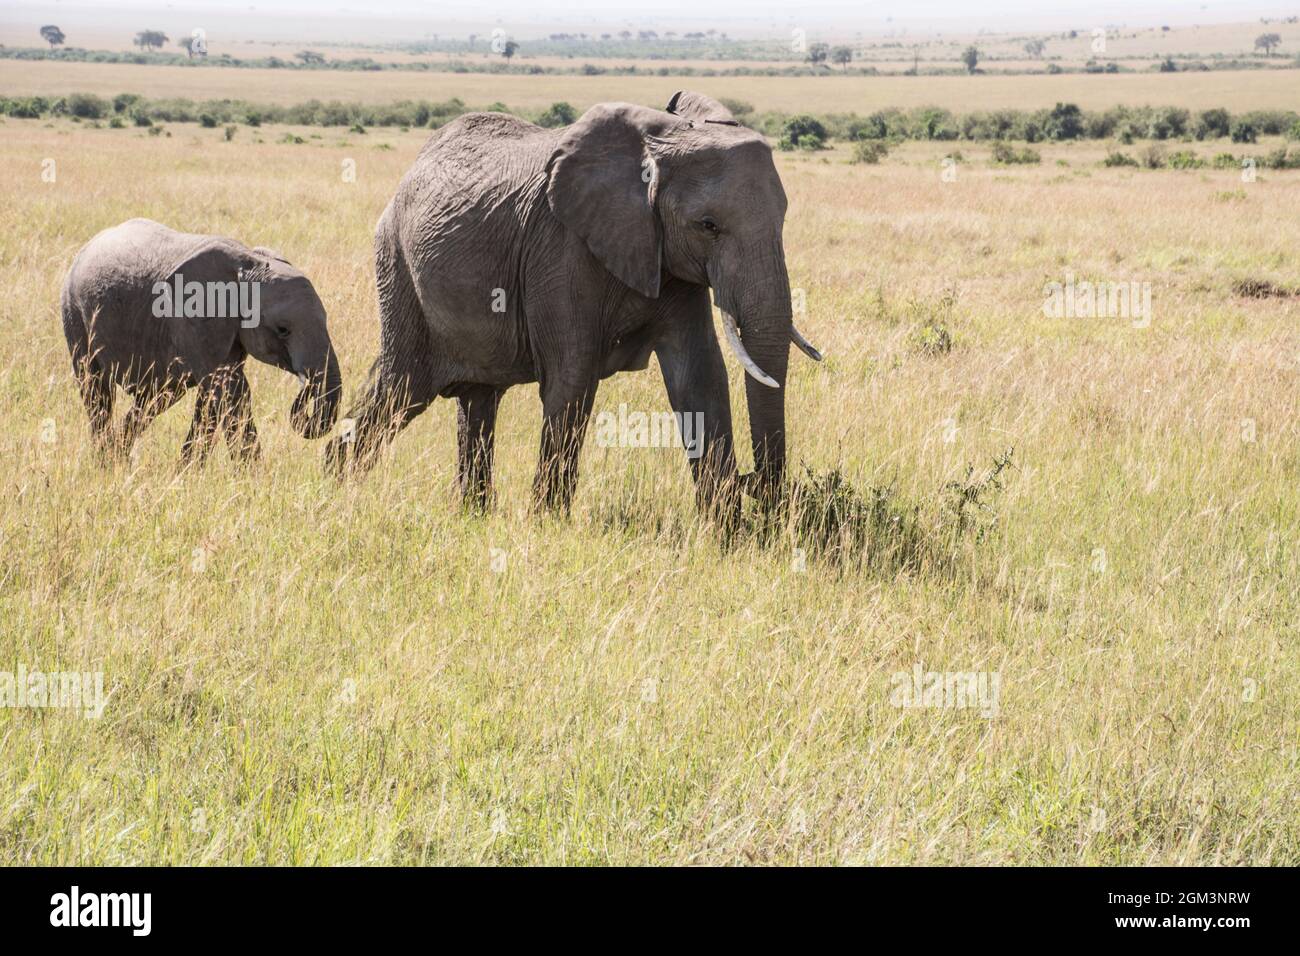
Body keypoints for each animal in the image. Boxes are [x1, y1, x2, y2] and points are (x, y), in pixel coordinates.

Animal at [61, 218, 342, 464]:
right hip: (73, 313)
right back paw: (105, 462)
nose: (305, 387)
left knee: (155, 398)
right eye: (283, 330)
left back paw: (117, 456)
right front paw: (254, 479)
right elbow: (231, 391)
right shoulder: (194, 322)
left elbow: (213, 397)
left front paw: (186, 474)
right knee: (96, 390)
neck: (249, 264)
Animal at [325, 91, 821, 516]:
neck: (661, 141)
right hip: (396, 263)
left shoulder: (669, 259)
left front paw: (725, 533)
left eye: (784, 218)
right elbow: (573, 376)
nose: (756, 484)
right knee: (403, 388)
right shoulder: (561, 248)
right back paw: (335, 487)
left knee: (475, 399)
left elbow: (699, 375)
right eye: (708, 225)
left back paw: (470, 515)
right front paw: (547, 524)